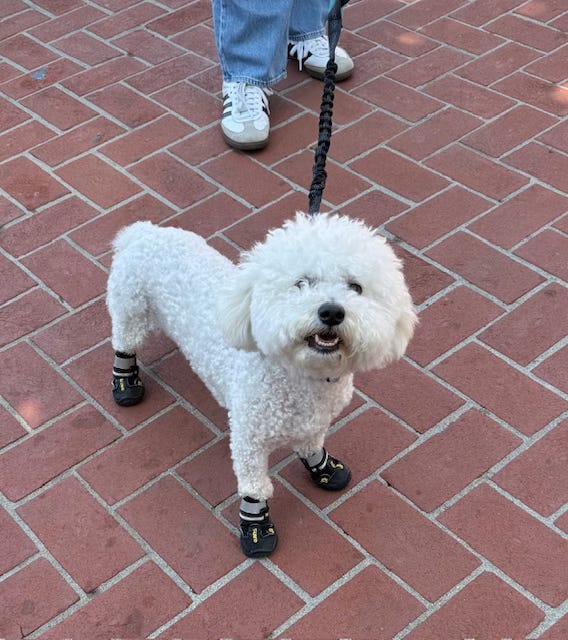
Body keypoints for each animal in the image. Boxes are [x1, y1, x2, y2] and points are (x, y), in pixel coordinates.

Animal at [106, 212, 416, 556]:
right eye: (301, 283)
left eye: (356, 287)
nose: (332, 311)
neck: (301, 375)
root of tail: (143, 233)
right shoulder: (249, 439)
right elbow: (254, 486)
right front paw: (256, 527)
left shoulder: (316, 423)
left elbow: (312, 446)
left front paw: (323, 468)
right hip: (131, 306)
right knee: (125, 342)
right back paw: (125, 382)